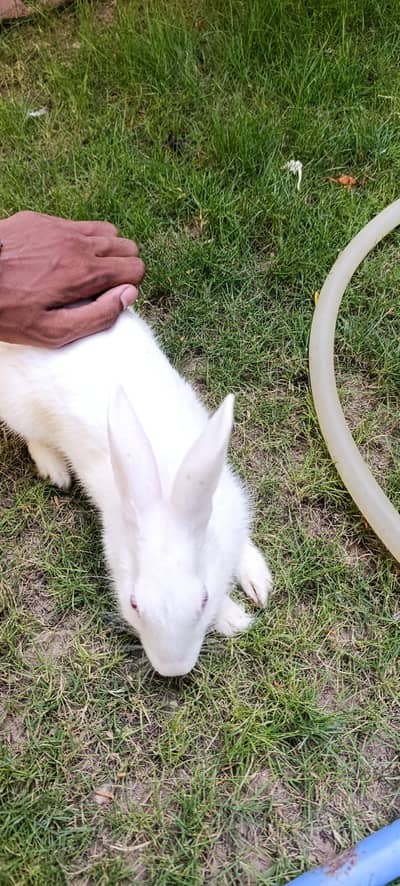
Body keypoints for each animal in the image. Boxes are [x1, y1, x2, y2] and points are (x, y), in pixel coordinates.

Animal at [0, 309, 272, 676]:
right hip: (19, 407)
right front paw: (234, 617)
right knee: (32, 437)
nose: (173, 669)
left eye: (202, 599)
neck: (168, 483)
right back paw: (55, 470)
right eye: (133, 604)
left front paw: (258, 584)